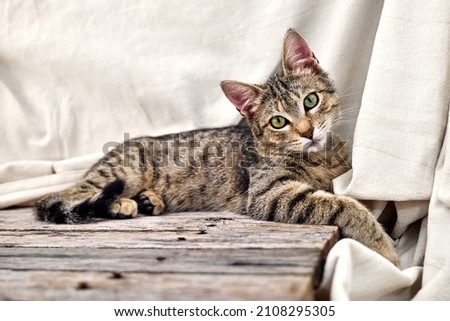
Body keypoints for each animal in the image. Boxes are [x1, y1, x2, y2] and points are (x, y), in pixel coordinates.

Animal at [36, 29, 400, 264]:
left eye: (310, 101)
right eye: (278, 122)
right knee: (61, 197)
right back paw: (119, 203)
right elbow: (344, 206)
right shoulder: (268, 194)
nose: (308, 130)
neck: (318, 157)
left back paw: (146, 202)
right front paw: (383, 248)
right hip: (124, 171)